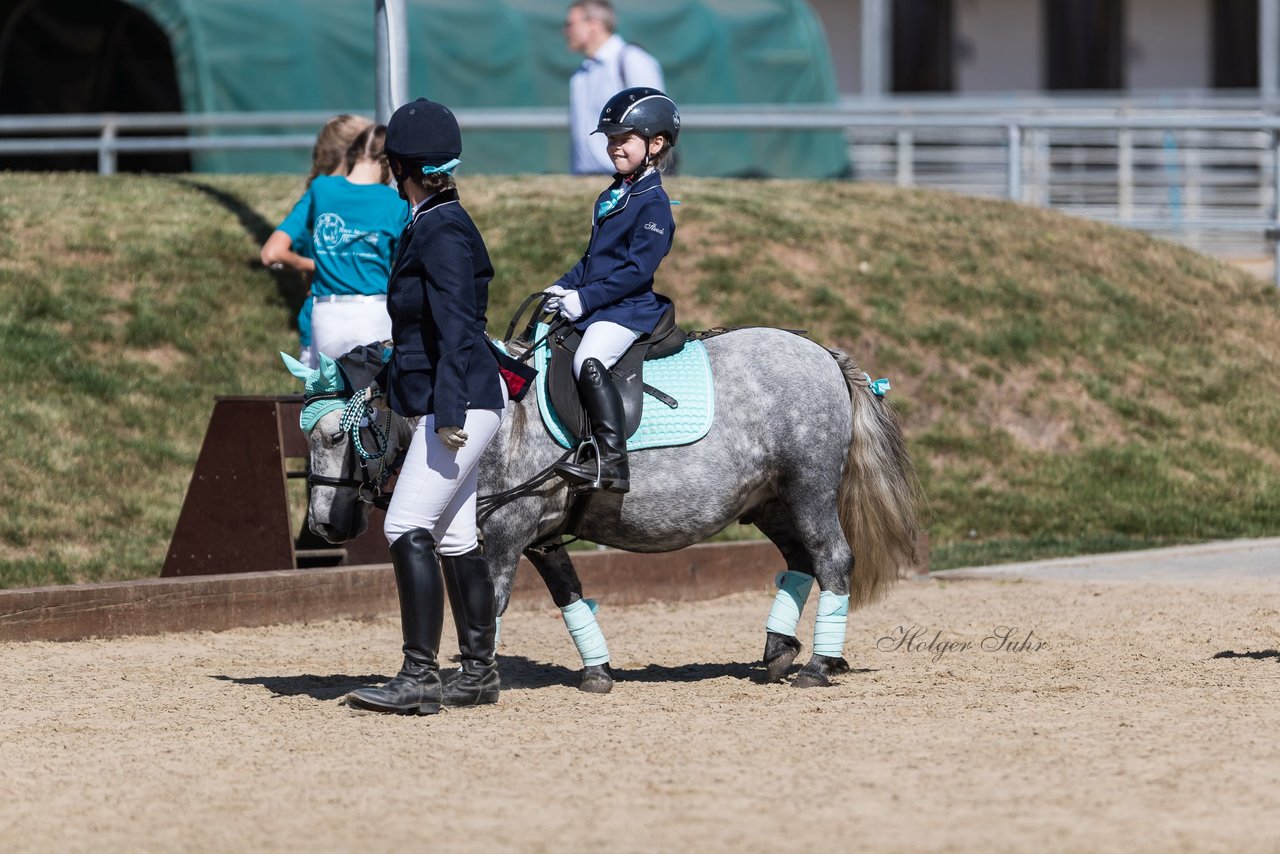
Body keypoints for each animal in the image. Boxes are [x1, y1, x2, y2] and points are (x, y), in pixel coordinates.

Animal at [299, 330, 921, 696]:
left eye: (336, 434)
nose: (326, 525)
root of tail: (823, 354)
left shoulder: (504, 535)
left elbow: (488, 605)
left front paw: (470, 681)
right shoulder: (541, 538)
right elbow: (569, 595)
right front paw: (597, 672)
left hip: (807, 489)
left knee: (832, 557)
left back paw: (818, 666)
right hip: (771, 501)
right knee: (801, 559)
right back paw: (779, 652)